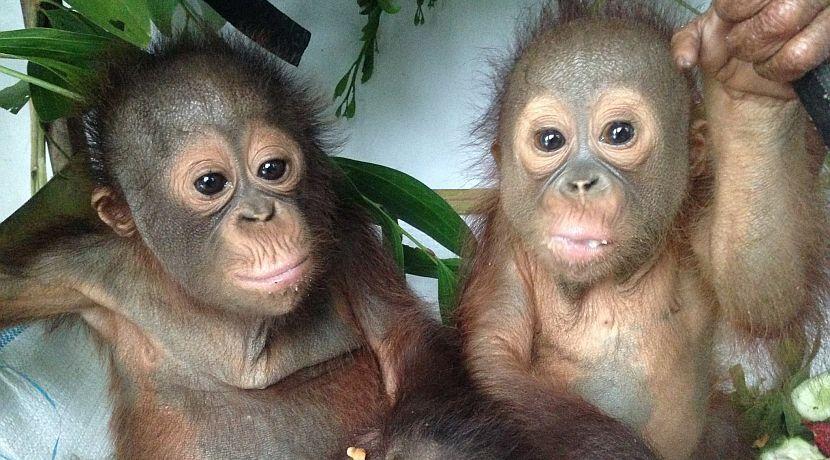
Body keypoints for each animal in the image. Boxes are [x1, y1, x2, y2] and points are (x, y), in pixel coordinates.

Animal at [0, 35, 532, 459]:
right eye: (211, 183)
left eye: (272, 169)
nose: (261, 216)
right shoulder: (80, 272)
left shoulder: (344, 235)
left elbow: (406, 342)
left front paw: (410, 448)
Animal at [456, 1, 829, 459]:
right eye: (550, 140)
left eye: (619, 133)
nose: (580, 182)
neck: (612, 279)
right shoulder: (505, 245)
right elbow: (494, 359)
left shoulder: (692, 212)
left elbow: (764, 293)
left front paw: (748, 94)